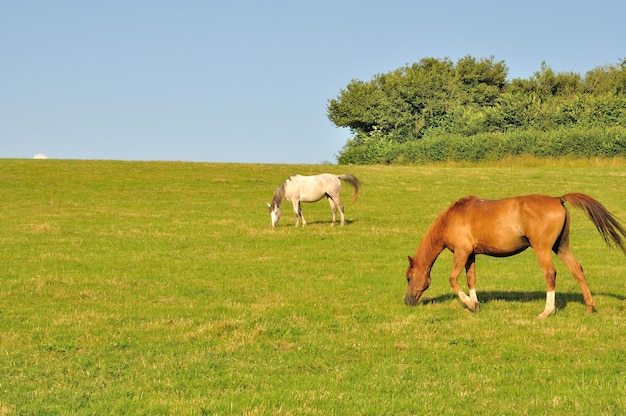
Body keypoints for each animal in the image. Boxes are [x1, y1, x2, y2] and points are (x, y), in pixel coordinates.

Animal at [404, 193, 624, 318]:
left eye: (408, 278)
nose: (407, 302)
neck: (452, 218)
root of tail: (557, 199)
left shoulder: (461, 252)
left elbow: (453, 278)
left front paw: (469, 303)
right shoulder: (471, 255)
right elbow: (470, 279)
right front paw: (474, 305)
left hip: (542, 249)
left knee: (550, 274)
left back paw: (547, 311)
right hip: (561, 247)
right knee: (577, 270)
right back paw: (589, 307)